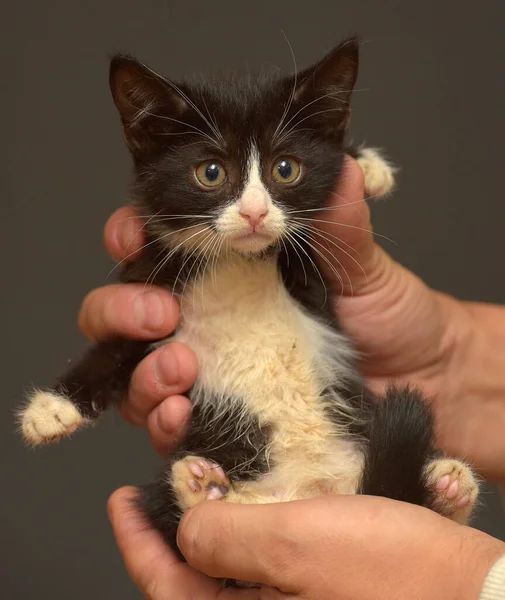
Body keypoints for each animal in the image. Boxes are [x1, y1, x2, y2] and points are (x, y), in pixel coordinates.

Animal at [18, 35, 476, 580]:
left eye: (286, 169)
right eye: (211, 173)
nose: (255, 212)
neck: (240, 265)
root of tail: (310, 491)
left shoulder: (310, 276)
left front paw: (364, 165)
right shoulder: (156, 293)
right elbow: (118, 347)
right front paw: (52, 409)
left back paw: (448, 485)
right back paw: (199, 487)